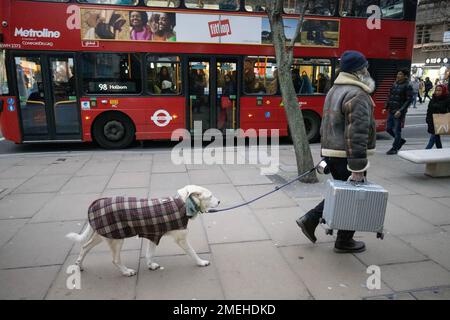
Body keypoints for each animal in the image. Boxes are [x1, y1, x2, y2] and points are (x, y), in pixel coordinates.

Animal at [66, 186, 220, 276]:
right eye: (210, 196)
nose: (219, 202)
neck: (183, 204)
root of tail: (95, 204)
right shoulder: (181, 239)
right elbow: (192, 252)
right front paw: (201, 262)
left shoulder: (154, 235)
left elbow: (149, 253)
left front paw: (151, 265)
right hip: (116, 239)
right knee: (115, 259)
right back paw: (126, 272)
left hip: (104, 235)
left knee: (85, 247)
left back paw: (79, 265)